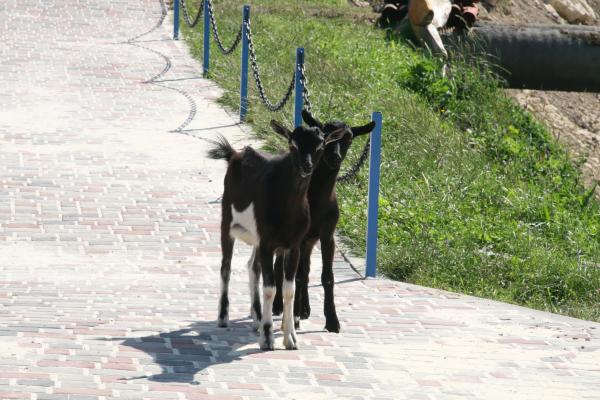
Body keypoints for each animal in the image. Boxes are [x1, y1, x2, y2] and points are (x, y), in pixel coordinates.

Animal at [207, 120, 346, 350]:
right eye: (293, 144)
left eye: (320, 144)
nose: (306, 166)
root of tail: (235, 154)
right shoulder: (267, 243)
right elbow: (270, 288)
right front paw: (267, 338)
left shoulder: (293, 245)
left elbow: (289, 288)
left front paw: (290, 338)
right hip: (227, 222)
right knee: (225, 267)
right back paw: (223, 317)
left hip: (257, 238)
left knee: (252, 266)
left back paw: (256, 318)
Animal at [272, 110, 376, 333]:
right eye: (326, 135)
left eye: (349, 138)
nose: (335, 157)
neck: (316, 199)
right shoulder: (298, 237)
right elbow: (295, 273)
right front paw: (293, 317)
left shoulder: (327, 235)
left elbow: (326, 277)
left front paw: (332, 321)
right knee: (281, 266)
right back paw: (279, 305)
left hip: (310, 240)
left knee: (305, 268)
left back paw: (305, 308)